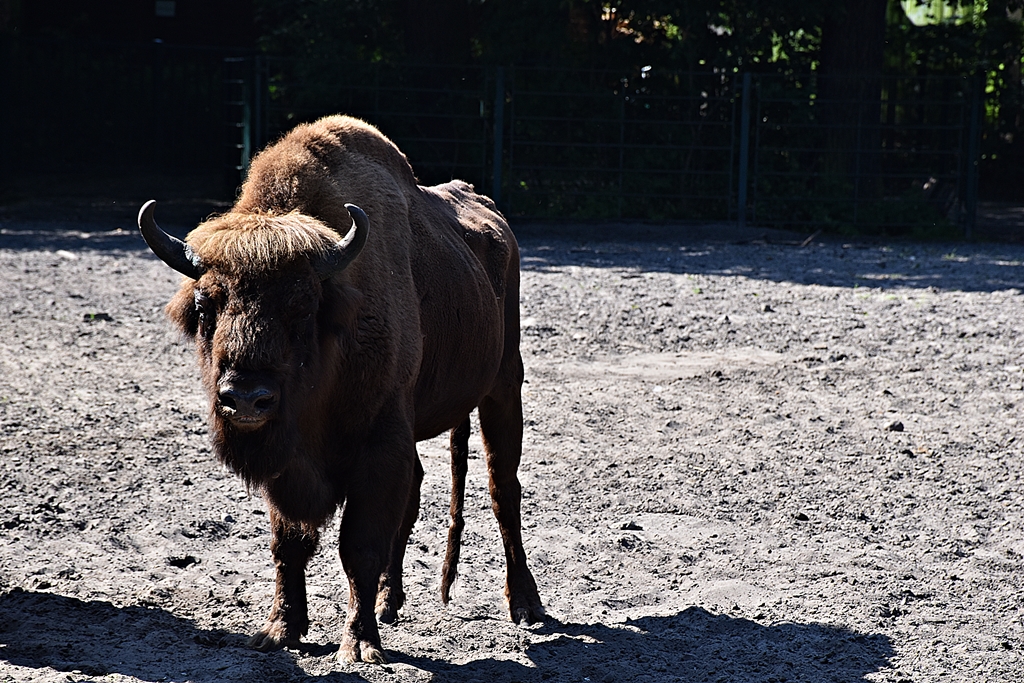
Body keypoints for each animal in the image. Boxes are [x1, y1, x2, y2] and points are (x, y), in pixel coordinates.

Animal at [138, 115, 543, 663]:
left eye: (303, 308)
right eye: (205, 305)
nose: (245, 399)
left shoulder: (378, 444)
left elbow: (359, 545)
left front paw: (360, 643)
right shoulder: (293, 461)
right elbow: (289, 543)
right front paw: (279, 630)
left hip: (503, 385)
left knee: (504, 491)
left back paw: (525, 605)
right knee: (418, 491)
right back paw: (392, 601)